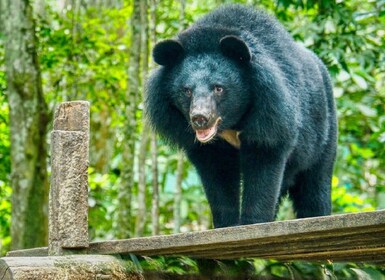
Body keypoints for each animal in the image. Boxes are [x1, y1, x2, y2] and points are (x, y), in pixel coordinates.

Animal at [145, 4, 336, 228]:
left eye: (218, 88)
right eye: (187, 90)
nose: (200, 118)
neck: (231, 123)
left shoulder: (271, 115)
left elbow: (263, 165)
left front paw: (253, 222)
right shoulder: (206, 145)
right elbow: (218, 176)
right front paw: (227, 225)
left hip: (323, 134)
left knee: (315, 183)